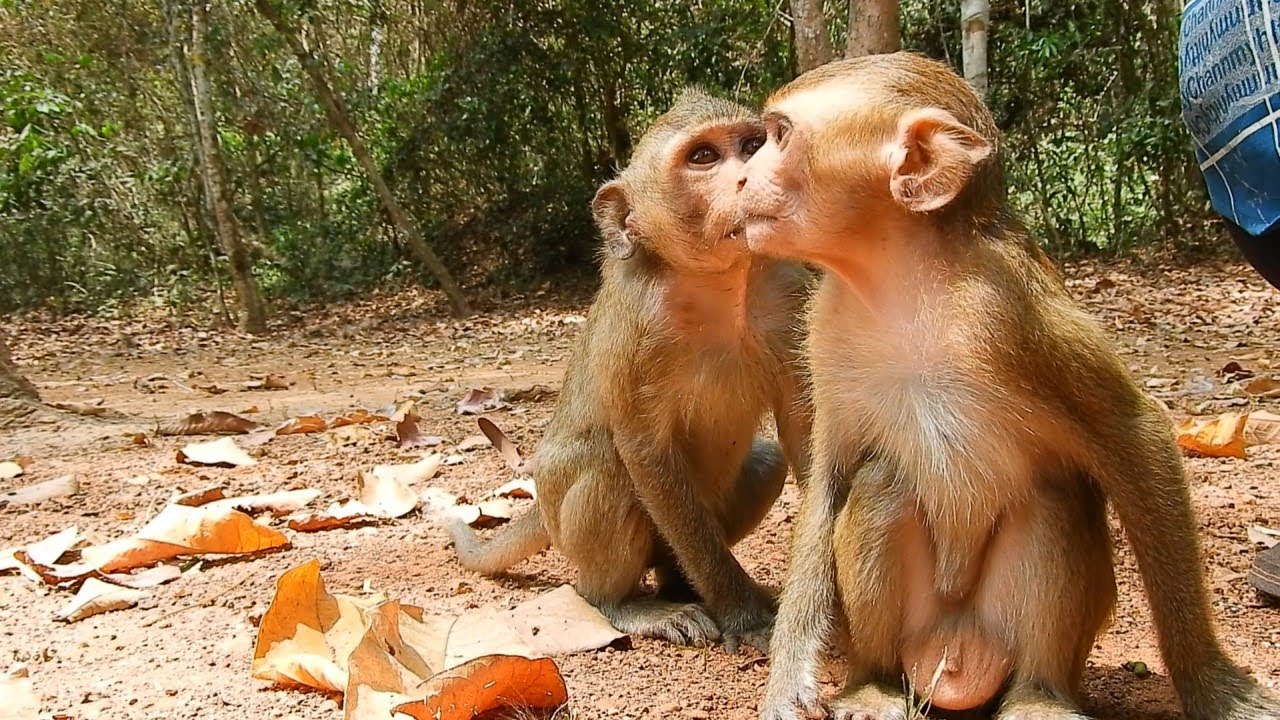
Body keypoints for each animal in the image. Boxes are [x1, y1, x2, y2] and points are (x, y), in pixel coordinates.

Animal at [444, 88, 813, 651]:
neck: (716, 286)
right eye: (703, 157)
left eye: (753, 146)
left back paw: (676, 584)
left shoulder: (788, 293)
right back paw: (623, 603)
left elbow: (799, 429)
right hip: (569, 518)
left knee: (766, 461)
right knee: (608, 468)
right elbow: (642, 450)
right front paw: (744, 614)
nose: (753, 175)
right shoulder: (637, 327)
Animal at [736, 53, 1279, 720]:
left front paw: (1212, 683)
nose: (742, 180)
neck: (904, 280)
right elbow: (832, 473)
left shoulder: (1009, 310)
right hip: (924, 633)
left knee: (1056, 497)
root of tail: (955, 652)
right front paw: (788, 685)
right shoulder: (824, 328)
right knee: (881, 484)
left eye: (779, 136)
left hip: (1003, 629)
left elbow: (1136, 431)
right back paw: (874, 682)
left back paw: (1039, 696)